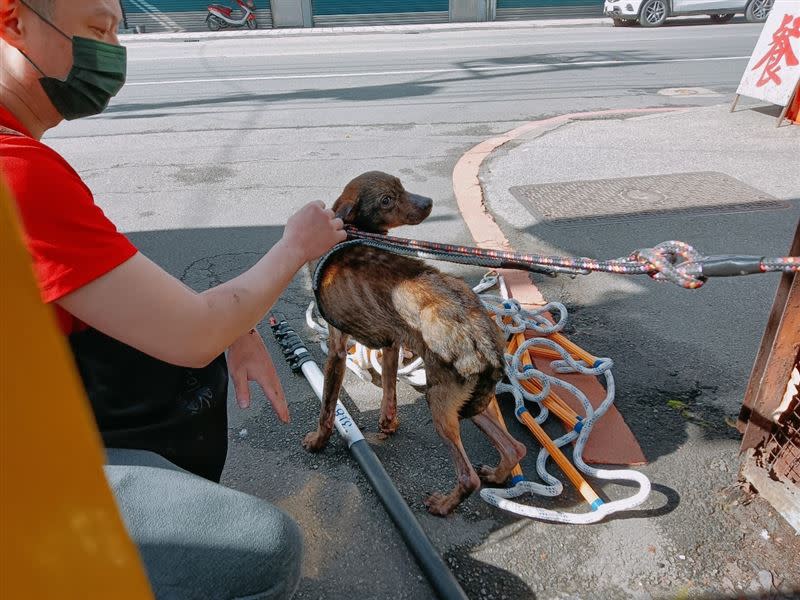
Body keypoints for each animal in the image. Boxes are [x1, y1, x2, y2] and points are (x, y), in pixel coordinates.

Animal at [304, 170, 524, 516]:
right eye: (387, 199)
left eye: (401, 187)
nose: (429, 202)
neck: (350, 235)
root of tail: (486, 341)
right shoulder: (391, 343)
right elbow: (389, 389)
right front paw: (387, 423)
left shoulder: (337, 350)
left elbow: (327, 407)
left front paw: (317, 442)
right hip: (467, 402)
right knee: (515, 448)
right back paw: (499, 473)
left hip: (440, 401)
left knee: (469, 477)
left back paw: (444, 504)